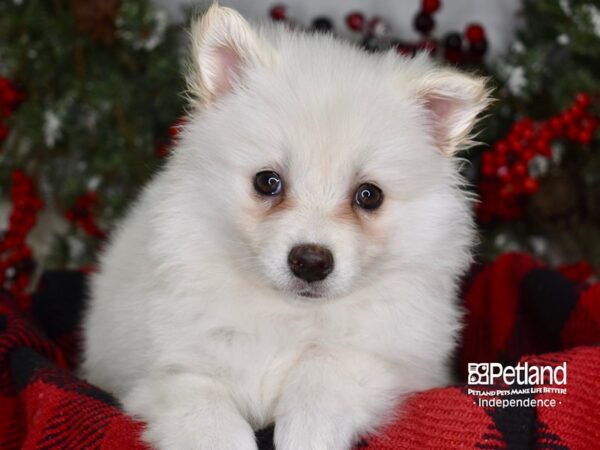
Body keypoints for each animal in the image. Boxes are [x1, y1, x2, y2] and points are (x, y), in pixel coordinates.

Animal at [81, 4, 488, 450]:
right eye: (267, 182)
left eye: (369, 196)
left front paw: (308, 431)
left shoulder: (401, 365)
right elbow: (201, 403)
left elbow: (329, 366)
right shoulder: (155, 374)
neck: (286, 314)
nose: (311, 262)